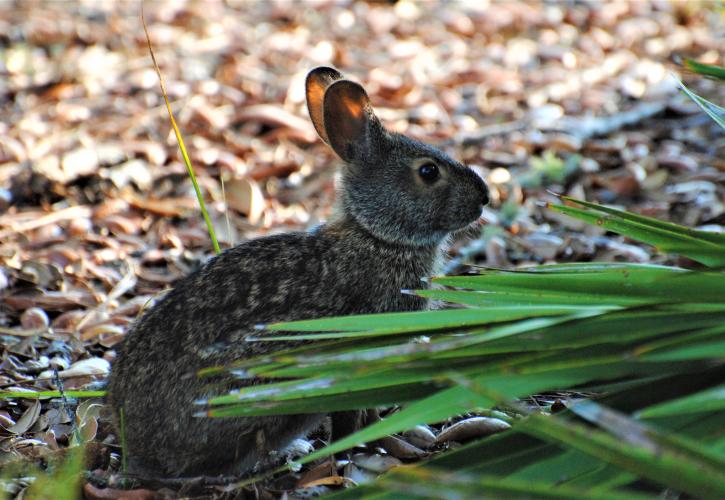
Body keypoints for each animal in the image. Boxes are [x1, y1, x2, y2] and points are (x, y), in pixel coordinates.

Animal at [107, 66, 490, 476]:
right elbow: (351, 413)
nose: (484, 196)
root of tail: (133, 439)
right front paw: (362, 447)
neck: (378, 237)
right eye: (429, 171)